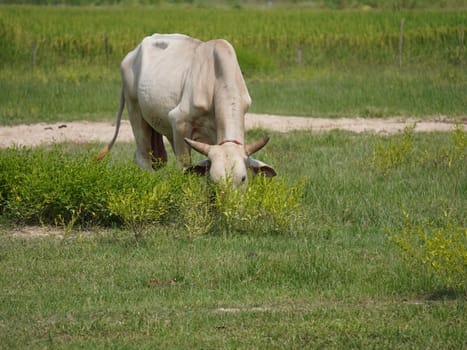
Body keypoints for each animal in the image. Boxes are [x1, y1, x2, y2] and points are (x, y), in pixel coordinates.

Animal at [98, 33, 274, 186]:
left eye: (243, 178)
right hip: (134, 109)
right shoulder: (179, 122)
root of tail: (131, 54)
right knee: (143, 158)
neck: (215, 79)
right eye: (215, 179)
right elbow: (185, 167)